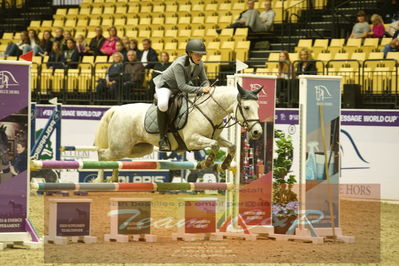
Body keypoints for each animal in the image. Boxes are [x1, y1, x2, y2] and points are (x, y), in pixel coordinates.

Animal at [92, 83, 264, 183]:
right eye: (246, 107)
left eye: (258, 107)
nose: (257, 132)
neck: (209, 110)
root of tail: (117, 109)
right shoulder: (192, 140)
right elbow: (214, 146)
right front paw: (206, 163)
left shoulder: (215, 136)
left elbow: (232, 146)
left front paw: (225, 164)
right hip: (121, 146)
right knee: (103, 154)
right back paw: (100, 180)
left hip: (138, 148)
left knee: (114, 158)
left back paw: (113, 178)